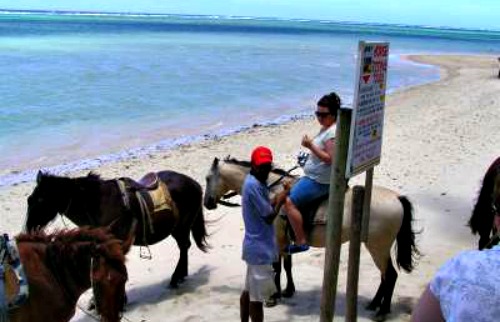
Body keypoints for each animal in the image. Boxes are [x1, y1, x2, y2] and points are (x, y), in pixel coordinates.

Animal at [25, 170, 209, 288]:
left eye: (40, 200)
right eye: (29, 199)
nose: (28, 228)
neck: (98, 204)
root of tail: (194, 184)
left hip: (181, 226)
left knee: (184, 247)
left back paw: (176, 277)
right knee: (185, 247)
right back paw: (181, 275)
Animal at [202, 157, 418, 320]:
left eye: (207, 178)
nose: (207, 203)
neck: (272, 190)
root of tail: (397, 198)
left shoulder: (278, 239)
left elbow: (277, 267)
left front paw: (274, 296)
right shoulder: (285, 242)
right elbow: (287, 265)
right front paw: (288, 290)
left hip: (377, 247)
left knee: (390, 275)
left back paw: (382, 310)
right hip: (375, 246)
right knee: (385, 276)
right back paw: (374, 304)